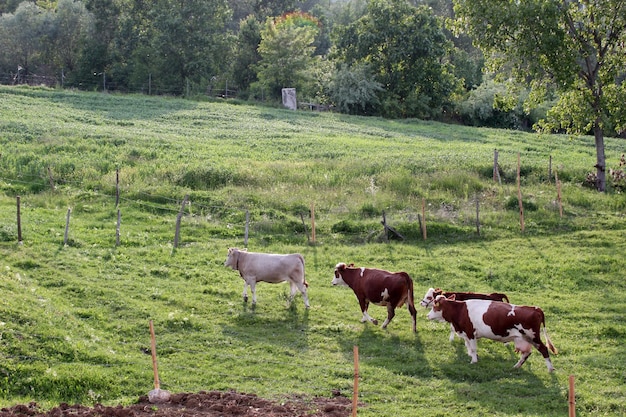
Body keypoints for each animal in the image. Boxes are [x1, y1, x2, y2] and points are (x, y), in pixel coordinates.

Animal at [424, 292, 556, 370]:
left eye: (435, 306)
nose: (427, 316)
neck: (460, 310)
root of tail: (535, 308)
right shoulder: (465, 333)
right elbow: (468, 347)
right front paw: (472, 356)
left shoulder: (470, 332)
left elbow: (473, 348)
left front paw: (474, 361)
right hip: (522, 338)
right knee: (526, 353)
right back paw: (516, 366)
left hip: (533, 337)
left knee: (544, 349)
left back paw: (550, 369)